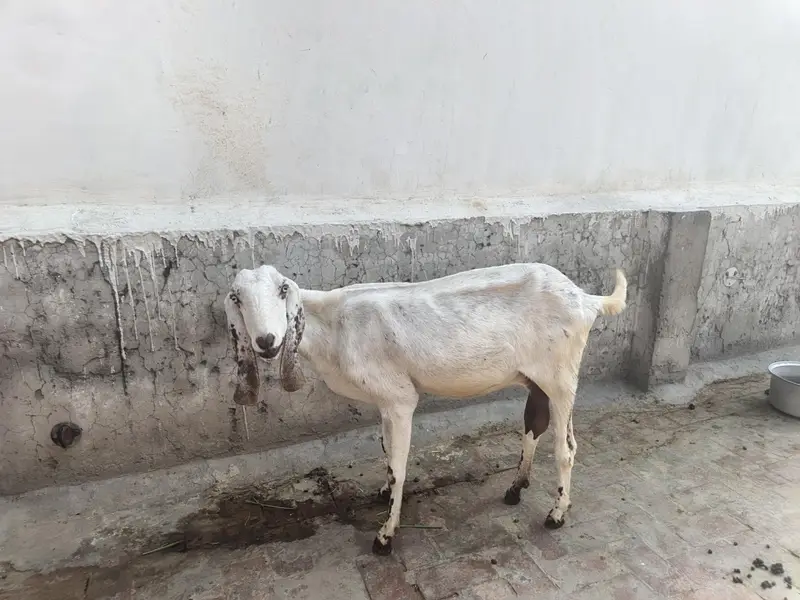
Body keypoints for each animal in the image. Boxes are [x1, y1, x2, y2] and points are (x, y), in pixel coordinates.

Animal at [224, 263, 627, 555]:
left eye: (282, 290)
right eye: (237, 298)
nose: (266, 341)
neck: (335, 325)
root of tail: (586, 299)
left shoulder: (401, 399)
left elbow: (398, 469)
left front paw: (385, 535)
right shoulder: (384, 403)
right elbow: (387, 455)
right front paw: (384, 496)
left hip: (562, 376)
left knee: (567, 449)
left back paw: (556, 514)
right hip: (536, 378)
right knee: (534, 424)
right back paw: (516, 488)